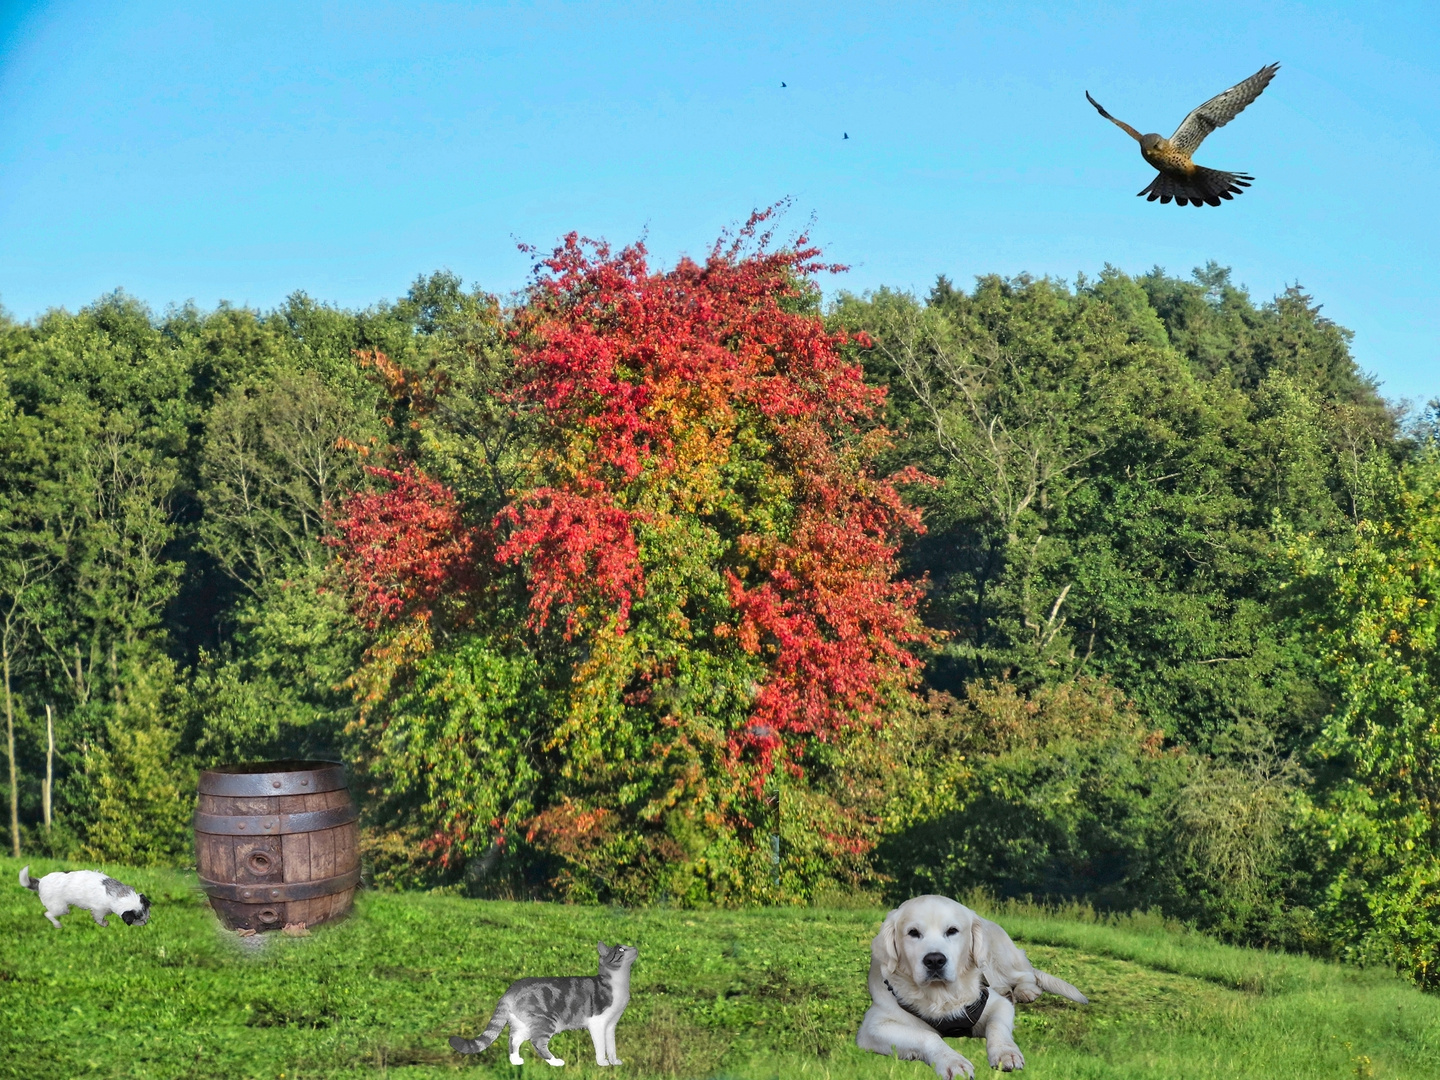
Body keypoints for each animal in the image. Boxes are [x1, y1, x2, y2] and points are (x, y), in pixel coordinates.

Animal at [19, 869, 151, 933]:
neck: (119, 895)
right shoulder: (99, 910)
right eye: (138, 920)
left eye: (146, 915)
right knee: (47, 914)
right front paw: (104, 924)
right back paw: (57, 924)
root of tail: (40, 882)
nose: (145, 923)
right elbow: (99, 919)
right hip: (60, 908)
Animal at [446, 944, 633, 1071]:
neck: (620, 983)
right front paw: (603, 1062)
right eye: (621, 950)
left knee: (513, 1039)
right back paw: (555, 1061)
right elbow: (601, 1045)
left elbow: (611, 1045)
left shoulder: (611, 1025)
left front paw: (614, 1061)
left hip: (524, 1024)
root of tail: (510, 990)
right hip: (546, 1021)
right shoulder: (598, 1023)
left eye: (627, 946)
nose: (634, 948)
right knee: (537, 1042)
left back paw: (515, 1061)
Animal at [852, 898, 1082, 1080]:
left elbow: (997, 1025)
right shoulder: (874, 1026)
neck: (941, 994)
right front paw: (952, 1061)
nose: (934, 960)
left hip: (1003, 959)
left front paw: (1005, 1052)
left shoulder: (995, 1003)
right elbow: (926, 1036)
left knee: (1027, 974)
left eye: (952, 931)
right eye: (913, 933)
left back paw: (1025, 991)